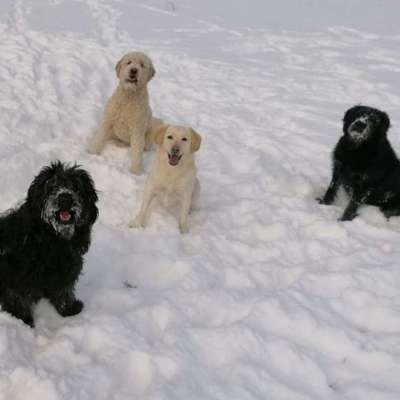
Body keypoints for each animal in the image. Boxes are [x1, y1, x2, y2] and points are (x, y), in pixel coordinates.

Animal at [0, 161, 98, 326]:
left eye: (76, 186)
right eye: (51, 186)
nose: (65, 198)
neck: (52, 238)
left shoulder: (67, 268)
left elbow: (63, 291)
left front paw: (70, 310)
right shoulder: (17, 275)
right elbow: (17, 298)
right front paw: (22, 321)